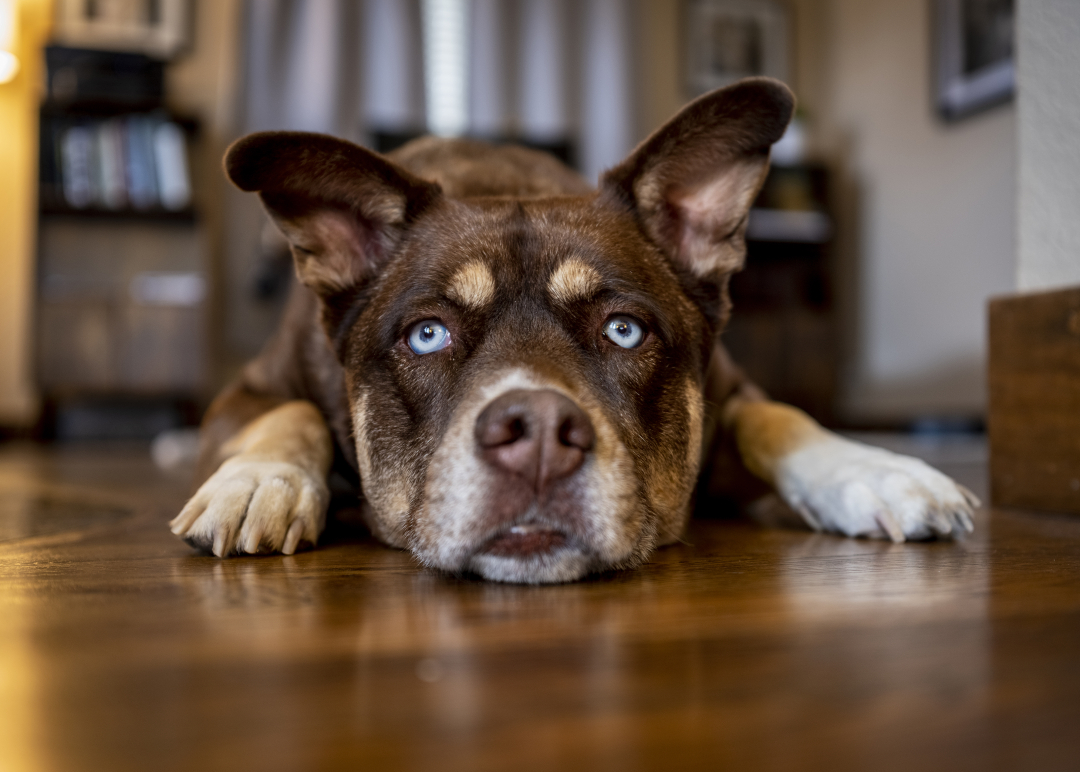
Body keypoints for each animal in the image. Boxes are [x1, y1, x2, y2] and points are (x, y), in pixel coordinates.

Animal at [168, 79, 980, 587]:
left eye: (624, 330)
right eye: (427, 336)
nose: (536, 433)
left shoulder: (731, 384)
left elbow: (779, 418)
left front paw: (874, 469)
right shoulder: (252, 390)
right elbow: (290, 413)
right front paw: (259, 480)